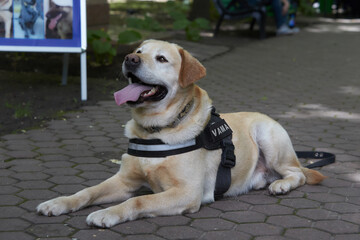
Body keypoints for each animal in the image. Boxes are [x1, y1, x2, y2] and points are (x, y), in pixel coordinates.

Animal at [37, 39, 326, 227]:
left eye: (162, 59)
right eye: (138, 52)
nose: (129, 59)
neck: (155, 131)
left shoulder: (187, 192)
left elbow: (139, 202)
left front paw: (106, 213)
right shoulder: (124, 181)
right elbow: (87, 192)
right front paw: (58, 203)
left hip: (268, 136)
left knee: (298, 173)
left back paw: (281, 184)